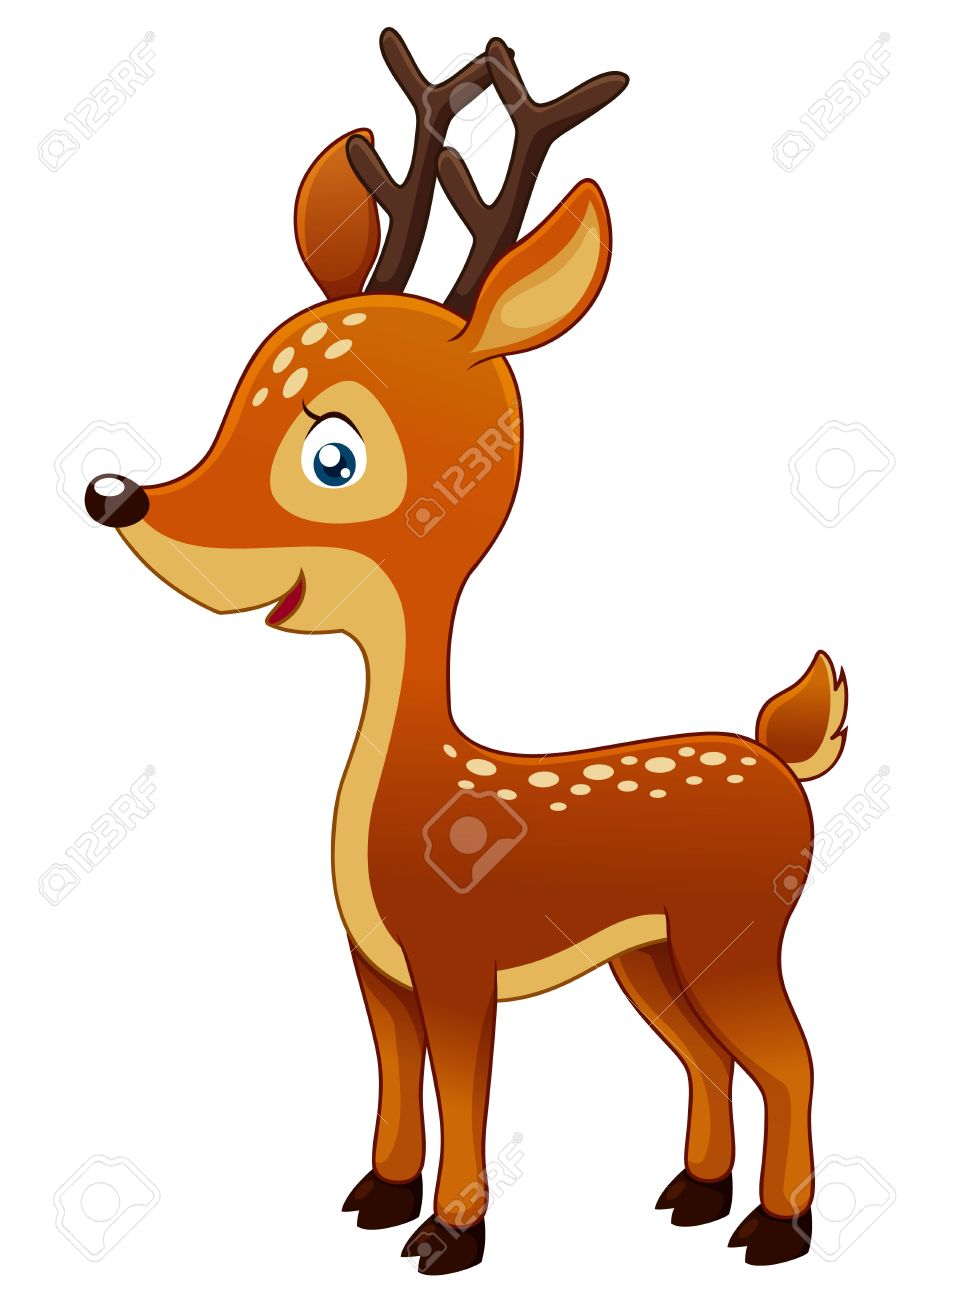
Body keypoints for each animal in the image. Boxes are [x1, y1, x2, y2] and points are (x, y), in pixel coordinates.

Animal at [85, 29, 847, 1274]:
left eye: (334, 454)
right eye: (239, 387)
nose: (119, 496)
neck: (416, 792)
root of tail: (784, 756)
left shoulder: (457, 964)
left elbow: (466, 1088)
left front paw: (451, 1235)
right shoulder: (378, 972)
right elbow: (399, 1081)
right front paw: (378, 1197)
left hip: (736, 935)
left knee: (791, 1055)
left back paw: (778, 1227)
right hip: (651, 957)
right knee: (708, 1056)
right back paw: (695, 1195)